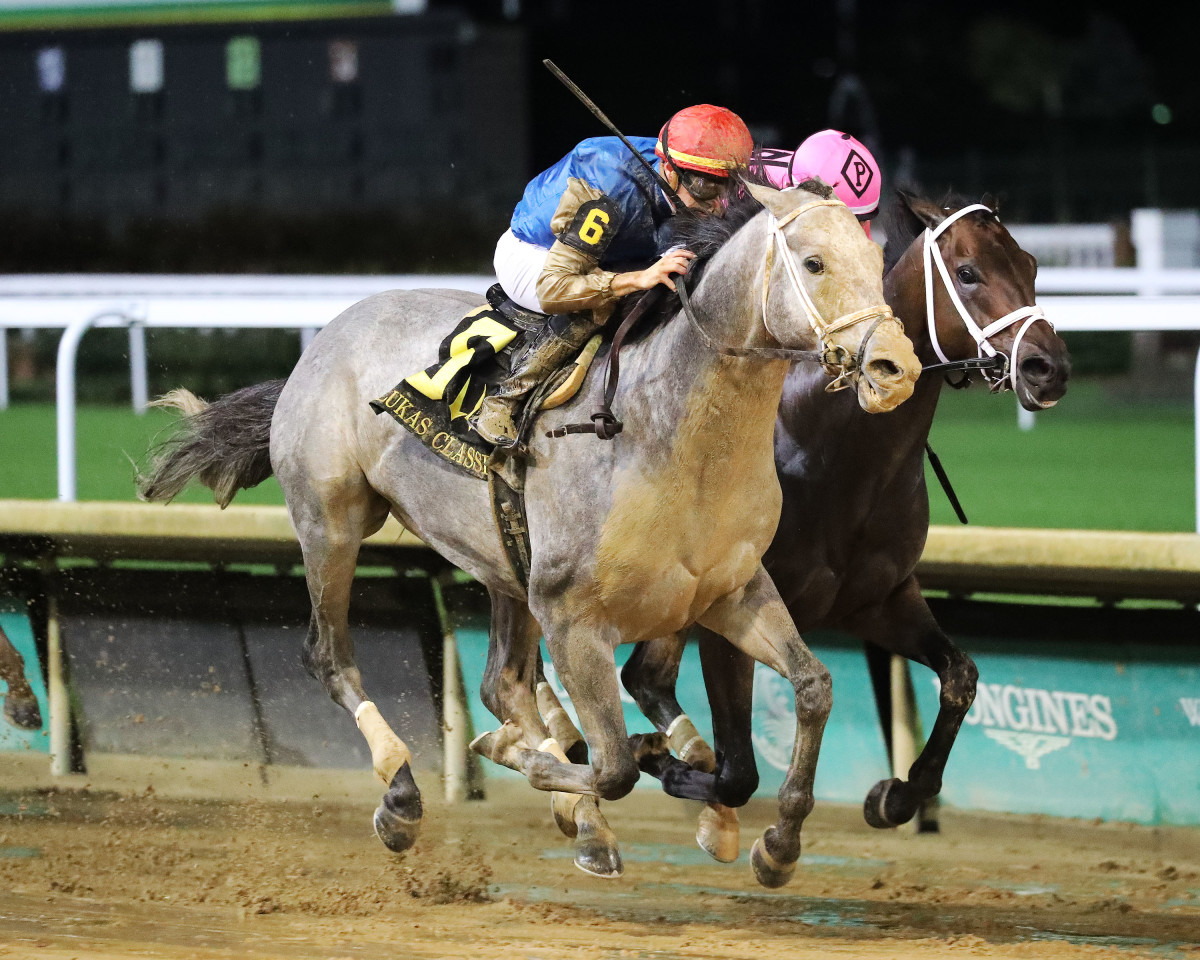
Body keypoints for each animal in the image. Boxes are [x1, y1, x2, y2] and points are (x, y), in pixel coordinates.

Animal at [137, 181, 922, 887]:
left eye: (875, 259)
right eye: (814, 262)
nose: (896, 368)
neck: (671, 437)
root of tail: (323, 339)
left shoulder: (730, 591)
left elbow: (812, 688)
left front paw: (777, 842)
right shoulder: (574, 615)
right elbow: (610, 766)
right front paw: (546, 762)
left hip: (503, 562)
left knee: (502, 681)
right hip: (332, 522)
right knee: (330, 656)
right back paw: (404, 793)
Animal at [530, 190, 1072, 875]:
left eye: (1030, 265)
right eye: (969, 272)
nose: (1049, 367)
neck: (838, 451)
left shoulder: (879, 599)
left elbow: (961, 678)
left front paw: (897, 796)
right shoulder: (726, 606)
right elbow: (738, 771)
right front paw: (712, 800)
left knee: (643, 680)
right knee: (642, 680)